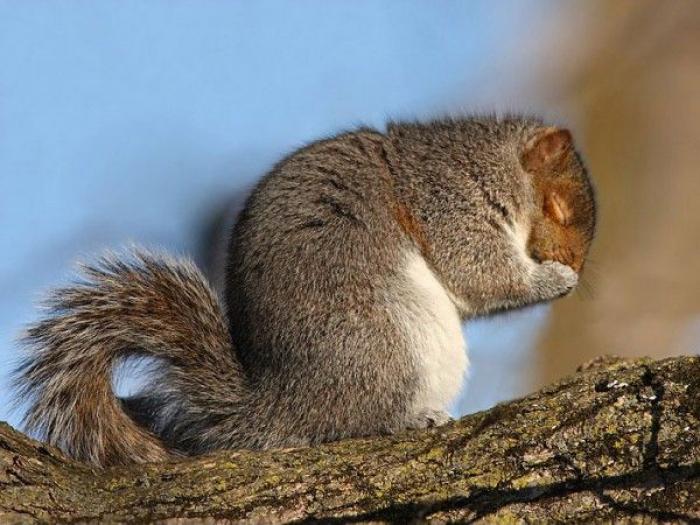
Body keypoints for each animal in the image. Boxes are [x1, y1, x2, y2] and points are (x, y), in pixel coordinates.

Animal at [15, 115, 596, 466]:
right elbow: (482, 272)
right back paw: (409, 419)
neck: (485, 166)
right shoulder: (448, 203)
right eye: (557, 207)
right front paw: (553, 280)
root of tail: (278, 406)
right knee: (348, 424)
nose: (575, 266)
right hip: (386, 342)